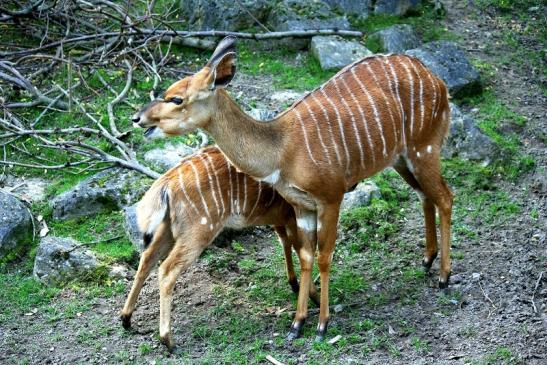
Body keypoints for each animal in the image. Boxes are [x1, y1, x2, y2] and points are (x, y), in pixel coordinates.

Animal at [119, 146, 322, 350]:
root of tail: (166, 183)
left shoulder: (282, 218)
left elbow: (287, 243)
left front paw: (295, 285)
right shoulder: (293, 216)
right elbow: (303, 251)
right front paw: (314, 297)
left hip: (168, 229)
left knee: (147, 259)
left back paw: (126, 319)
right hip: (198, 231)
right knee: (167, 269)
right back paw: (168, 339)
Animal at [133, 35, 454, 340]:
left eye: (176, 99)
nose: (138, 118)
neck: (282, 150)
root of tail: (436, 80)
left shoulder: (331, 197)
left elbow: (324, 256)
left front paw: (322, 325)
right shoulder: (300, 205)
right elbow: (306, 256)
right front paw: (297, 324)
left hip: (424, 148)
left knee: (446, 197)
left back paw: (444, 276)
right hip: (401, 159)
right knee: (426, 195)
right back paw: (427, 260)